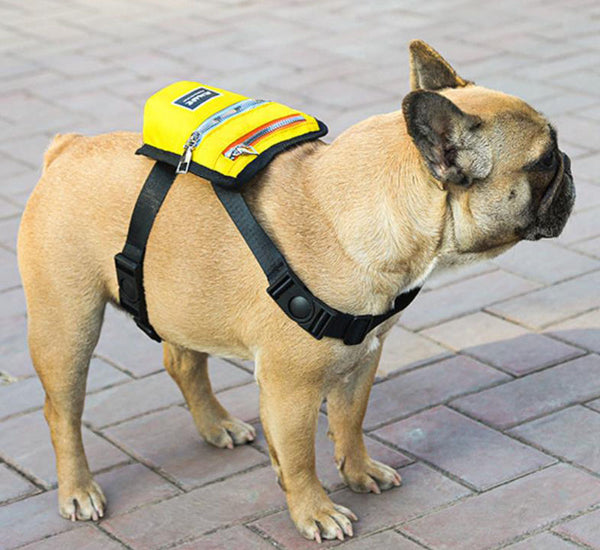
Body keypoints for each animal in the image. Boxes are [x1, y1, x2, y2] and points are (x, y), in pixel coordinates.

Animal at [16, 41, 576, 544]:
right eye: (544, 160)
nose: (570, 164)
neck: (366, 209)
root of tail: (67, 148)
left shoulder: (363, 356)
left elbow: (350, 421)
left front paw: (360, 472)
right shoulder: (291, 387)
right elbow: (299, 456)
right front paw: (316, 512)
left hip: (179, 300)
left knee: (183, 363)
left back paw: (217, 425)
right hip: (67, 324)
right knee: (61, 411)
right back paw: (78, 490)